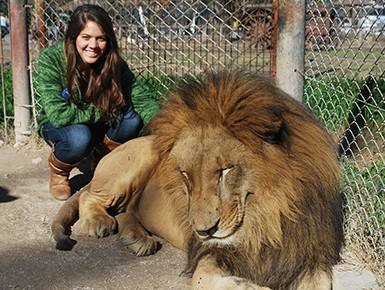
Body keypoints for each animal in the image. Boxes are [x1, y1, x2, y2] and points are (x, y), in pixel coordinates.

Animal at [51, 71, 342, 290]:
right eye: (184, 174)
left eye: (225, 170)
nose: (203, 231)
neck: (268, 214)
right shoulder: (209, 256)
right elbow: (219, 281)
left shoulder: (308, 256)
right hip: (136, 161)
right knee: (90, 196)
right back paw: (98, 222)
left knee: (125, 210)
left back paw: (137, 240)